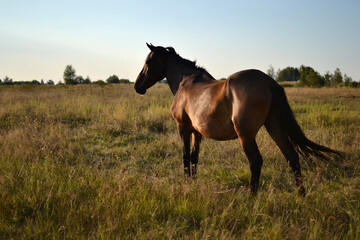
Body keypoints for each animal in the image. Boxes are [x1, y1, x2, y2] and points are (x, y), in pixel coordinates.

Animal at [135, 42, 340, 193]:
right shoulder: (197, 132)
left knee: (256, 161)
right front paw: (193, 182)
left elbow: (185, 156)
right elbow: (194, 157)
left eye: (148, 61)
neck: (185, 83)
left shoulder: (183, 128)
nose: (137, 86)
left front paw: (186, 182)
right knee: (292, 157)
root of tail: (270, 83)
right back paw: (301, 195)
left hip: (246, 135)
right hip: (275, 128)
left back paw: (252, 197)